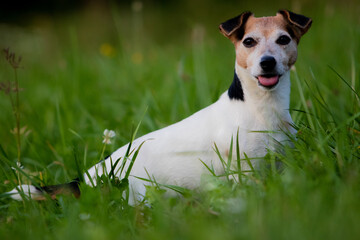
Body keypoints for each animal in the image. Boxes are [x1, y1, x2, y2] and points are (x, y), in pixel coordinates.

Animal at [7, 9, 310, 204]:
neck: (258, 107)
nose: (267, 62)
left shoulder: (280, 164)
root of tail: (83, 180)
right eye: (249, 41)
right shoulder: (244, 172)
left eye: (284, 39)